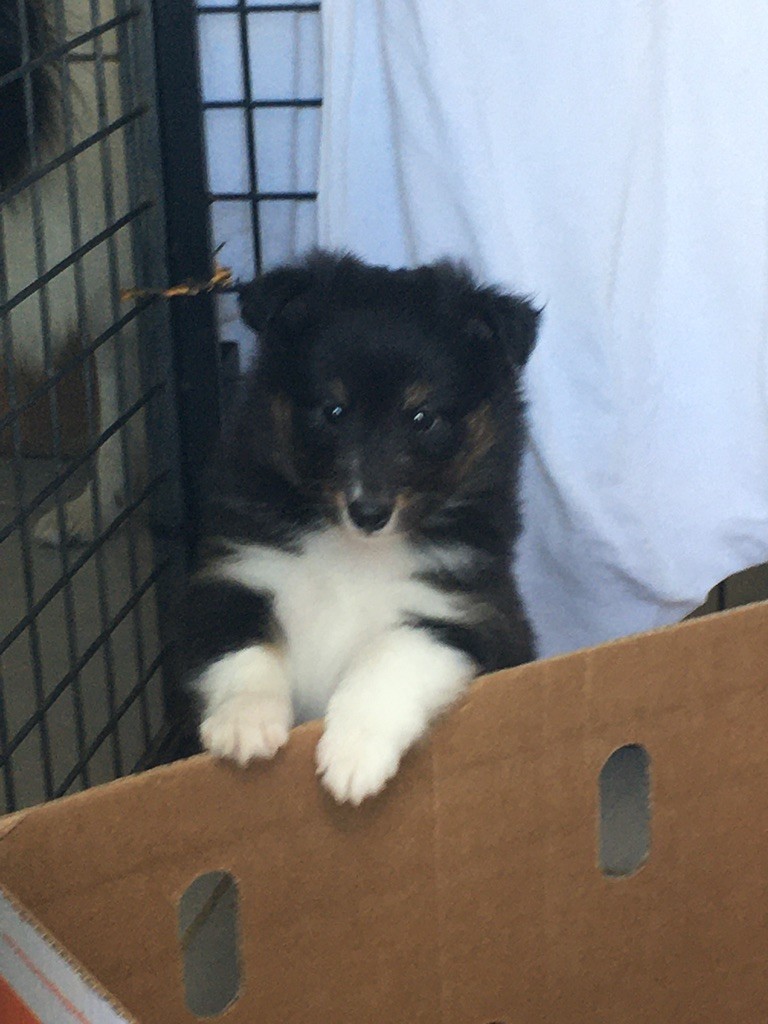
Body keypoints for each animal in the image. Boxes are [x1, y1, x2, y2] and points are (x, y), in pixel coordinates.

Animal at [183, 251, 536, 802]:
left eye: (422, 417)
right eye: (333, 410)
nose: (369, 513)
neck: (351, 552)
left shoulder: (462, 614)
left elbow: (388, 658)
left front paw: (353, 756)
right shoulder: (233, 574)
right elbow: (243, 648)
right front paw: (245, 724)